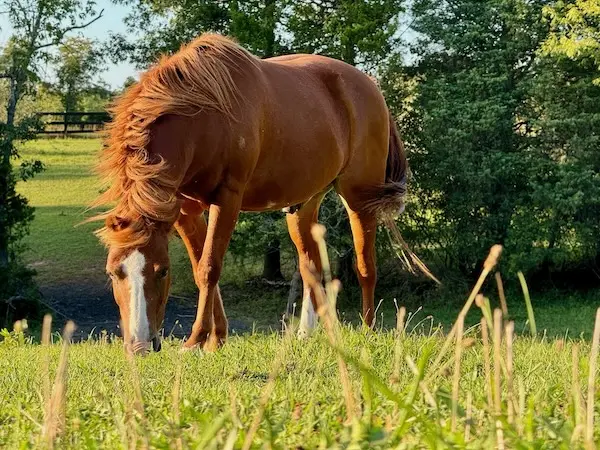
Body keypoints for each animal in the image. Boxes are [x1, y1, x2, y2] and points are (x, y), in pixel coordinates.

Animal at [91, 33, 410, 356]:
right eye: (113, 272)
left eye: (163, 271)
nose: (139, 345)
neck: (204, 116)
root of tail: (370, 85)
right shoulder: (184, 211)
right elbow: (200, 268)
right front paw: (216, 336)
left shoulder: (226, 200)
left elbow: (209, 268)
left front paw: (198, 339)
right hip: (304, 206)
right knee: (311, 267)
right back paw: (306, 333)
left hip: (359, 197)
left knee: (365, 265)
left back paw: (368, 330)